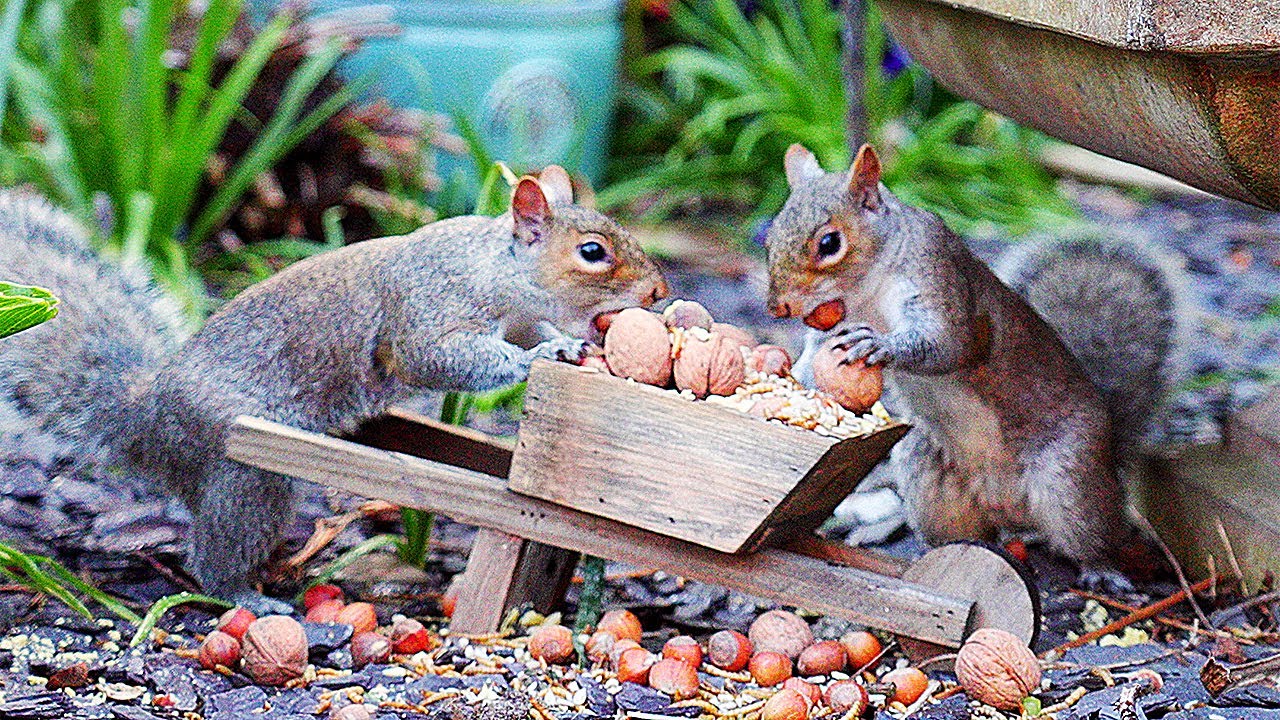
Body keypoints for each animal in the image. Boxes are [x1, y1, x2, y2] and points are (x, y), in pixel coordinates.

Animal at [0, 167, 668, 612]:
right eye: (592, 252)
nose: (661, 294)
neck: (496, 271)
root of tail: (146, 420)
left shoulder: (519, 314)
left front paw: (565, 343)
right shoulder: (425, 311)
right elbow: (440, 358)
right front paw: (541, 357)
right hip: (242, 473)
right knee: (218, 549)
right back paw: (246, 594)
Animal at [767, 143, 1192, 590]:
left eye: (830, 242)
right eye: (771, 235)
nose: (778, 307)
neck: (865, 292)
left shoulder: (938, 276)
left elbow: (947, 344)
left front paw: (881, 344)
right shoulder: (830, 330)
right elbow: (813, 359)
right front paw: (783, 377)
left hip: (1069, 479)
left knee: (1090, 532)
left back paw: (1103, 571)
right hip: (929, 475)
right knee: (968, 536)